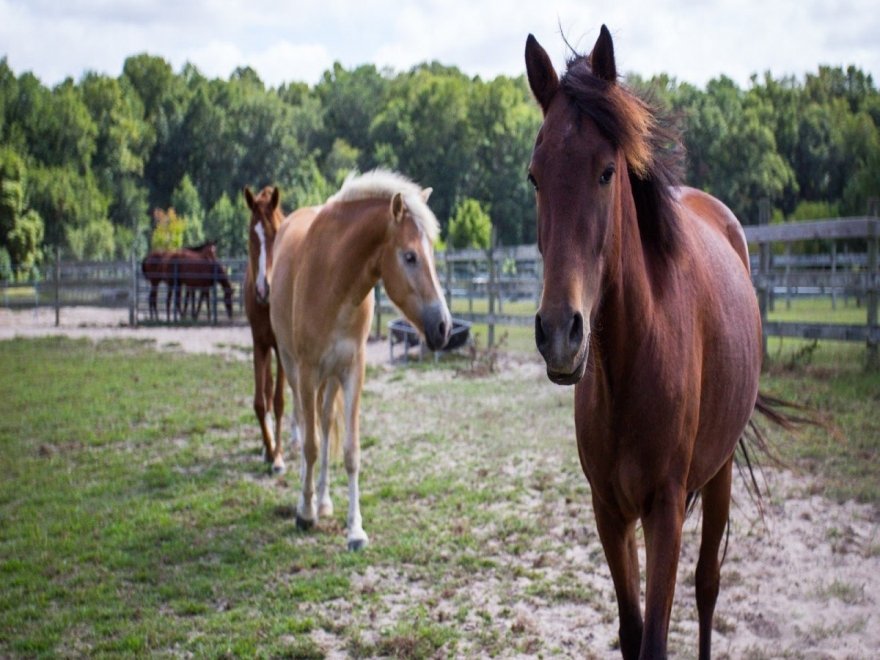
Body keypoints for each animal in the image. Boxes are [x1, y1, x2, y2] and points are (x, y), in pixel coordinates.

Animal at [272, 169, 454, 548]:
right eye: (410, 256)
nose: (443, 327)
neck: (331, 279)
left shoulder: (352, 371)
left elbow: (350, 451)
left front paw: (354, 528)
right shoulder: (308, 371)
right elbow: (310, 445)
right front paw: (305, 513)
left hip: (329, 378)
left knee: (325, 423)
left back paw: (324, 499)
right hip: (294, 368)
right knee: (304, 422)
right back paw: (306, 498)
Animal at [524, 23, 804, 656]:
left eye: (607, 171)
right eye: (534, 176)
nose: (559, 333)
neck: (629, 365)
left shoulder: (665, 512)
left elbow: (657, 636)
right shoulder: (609, 511)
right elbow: (631, 633)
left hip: (719, 473)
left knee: (707, 587)